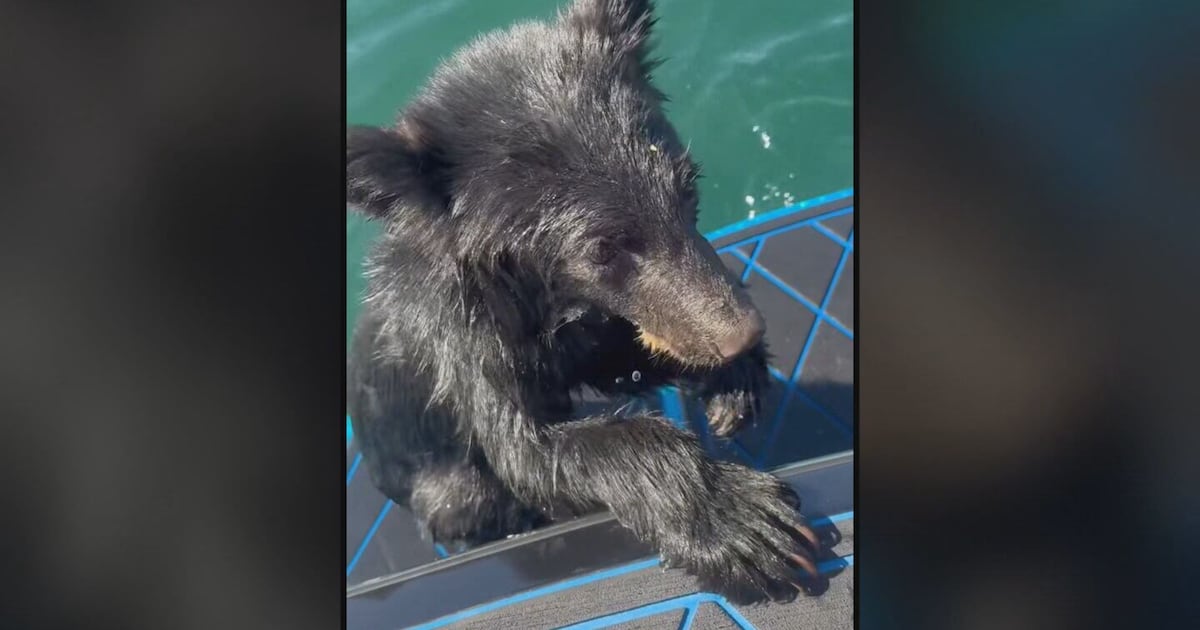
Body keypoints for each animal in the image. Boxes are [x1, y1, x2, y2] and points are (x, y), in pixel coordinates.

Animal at [346, 0, 821, 604]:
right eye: (601, 249)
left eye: (689, 186)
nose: (744, 333)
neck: (534, 295)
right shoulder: (462, 343)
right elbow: (533, 452)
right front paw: (740, 521)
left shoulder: (585, 326)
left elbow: (615, 356)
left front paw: (734, 382)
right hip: (436, 478)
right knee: (468, 499)